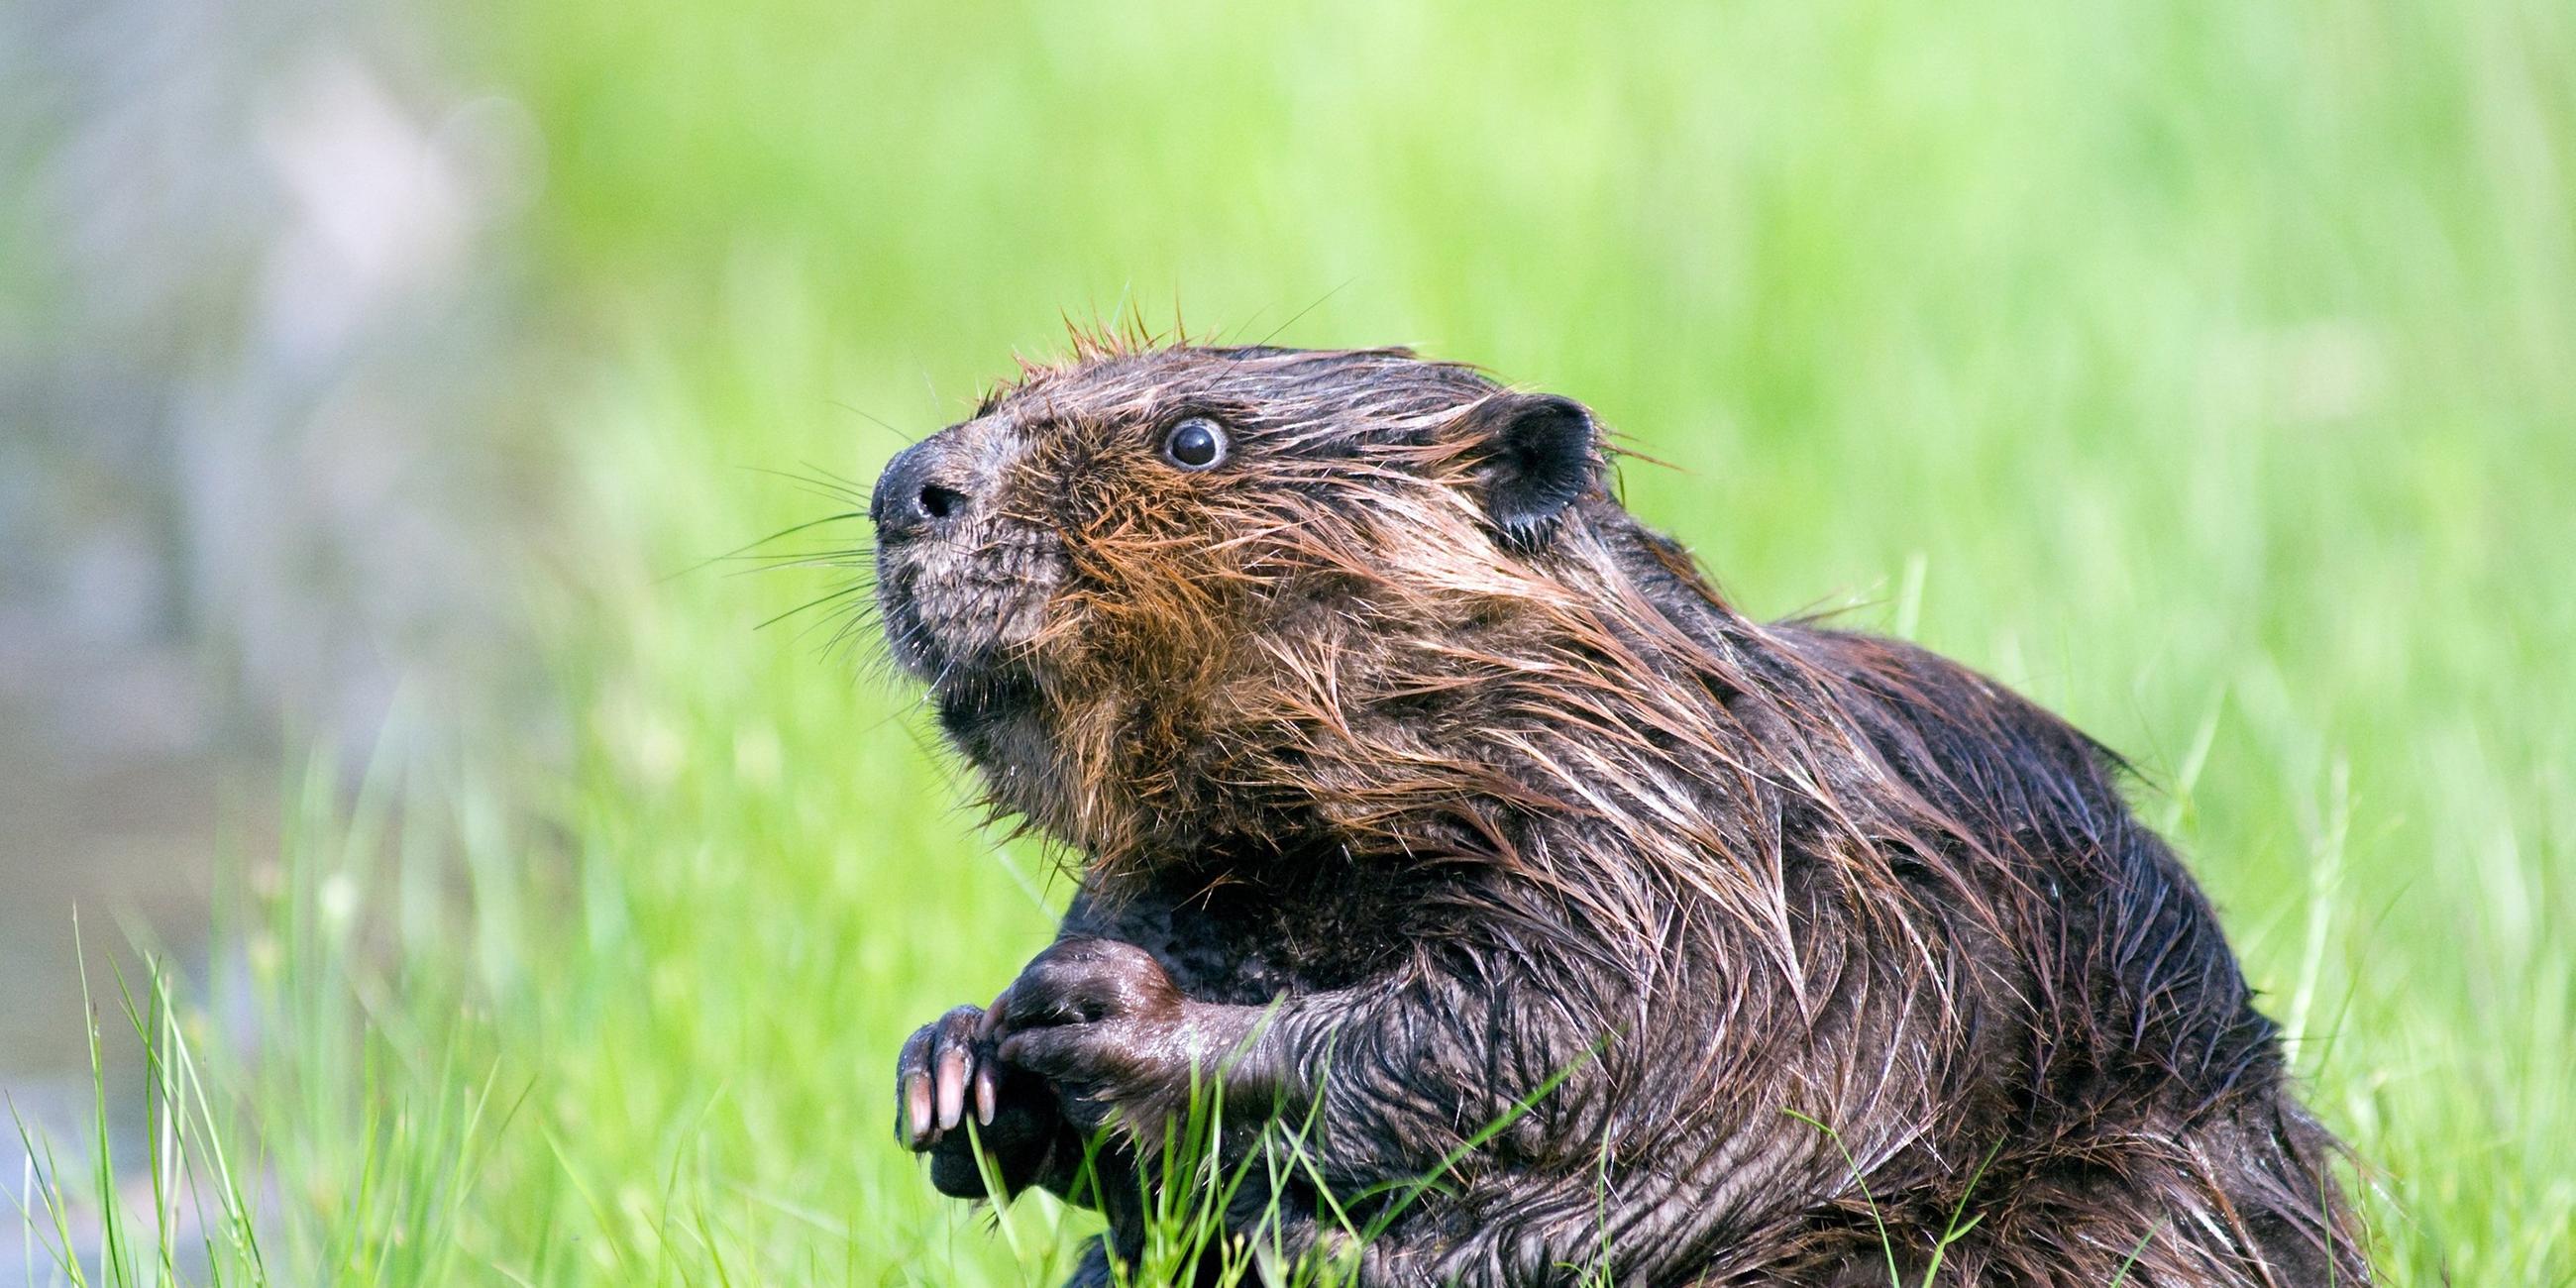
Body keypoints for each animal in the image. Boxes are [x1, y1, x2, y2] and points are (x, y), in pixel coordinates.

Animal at [875, 342, 2359, 1288]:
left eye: (1195, 437)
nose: (904, 487)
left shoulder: (1683, 867)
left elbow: (1535, 1037)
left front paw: (1106, 1015)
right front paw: (958, 1064)